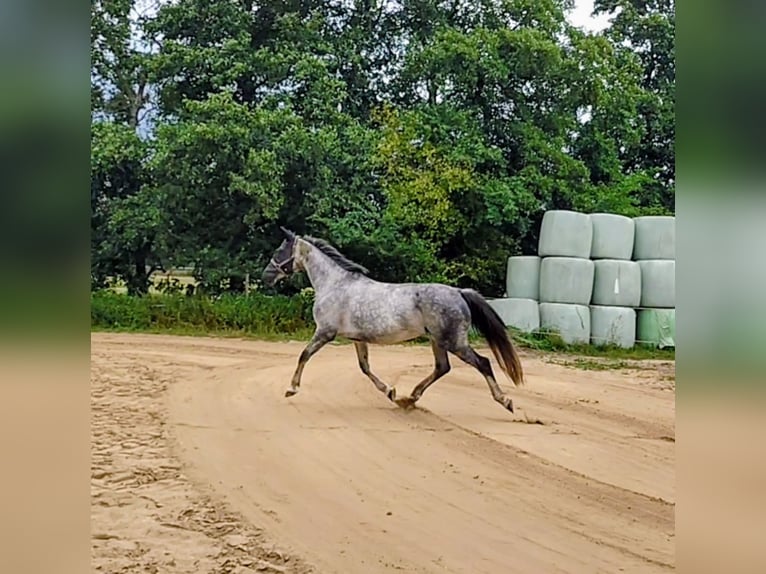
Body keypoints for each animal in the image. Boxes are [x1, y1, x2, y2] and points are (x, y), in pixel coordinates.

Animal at [261, 227, 525, 412]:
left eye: (278, 252)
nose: (265, 276)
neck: (335, 285)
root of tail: (460, 292)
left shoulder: (325, 332)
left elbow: (304, 355)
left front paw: (291, 388)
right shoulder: (358, 339)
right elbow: (365, 368)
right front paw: (391, 392)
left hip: (454, 342)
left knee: (483, 363)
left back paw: (506, 401)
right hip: (437, 341)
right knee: (442, 367)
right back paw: (410, 398)